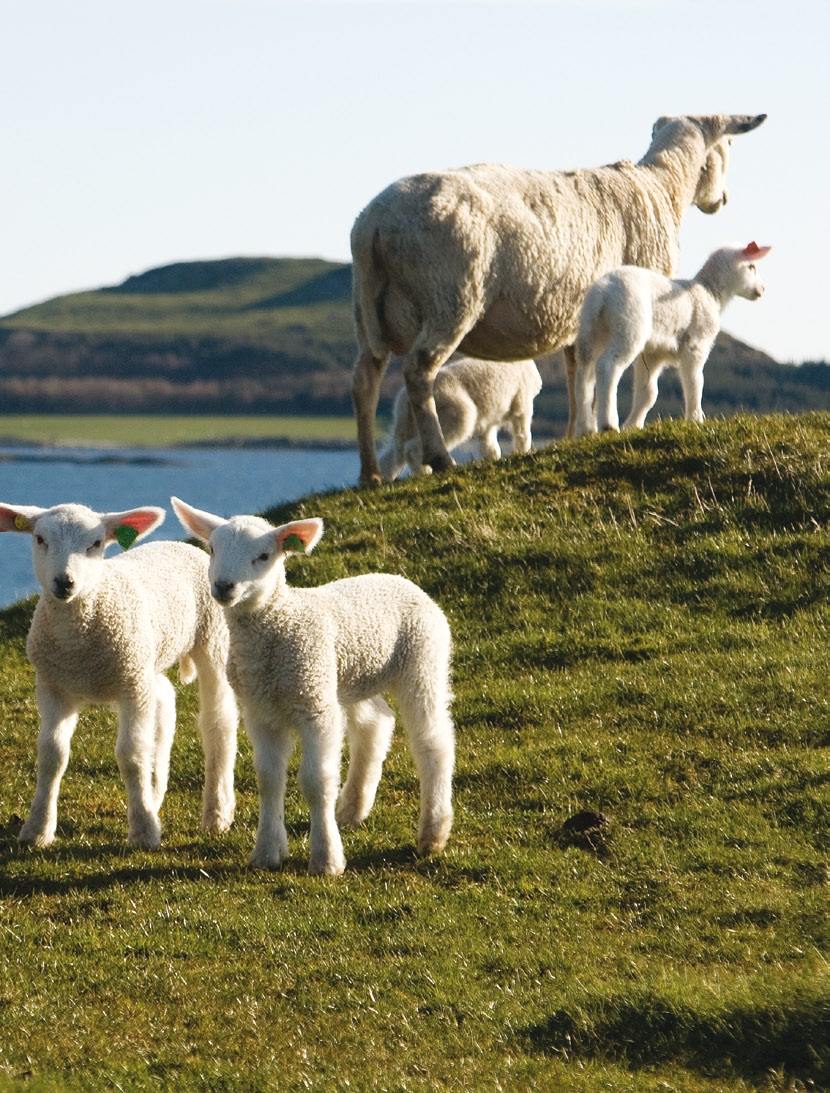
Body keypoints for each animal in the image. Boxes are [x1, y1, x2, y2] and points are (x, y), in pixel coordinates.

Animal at [0, 502, 240, 852]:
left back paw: (217, 814)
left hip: (211, 640)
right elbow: (51, 754)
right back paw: (155, 792)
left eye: (96, 543)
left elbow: (131, 755)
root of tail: (181, 545)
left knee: (217, 723)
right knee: (164, 698)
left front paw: (143, 831)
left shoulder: (131, 686)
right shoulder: (53, 685)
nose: (65, 582)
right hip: (146, 659)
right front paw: (37, 829)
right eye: (40, 539)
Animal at [169, 496, 454, 878]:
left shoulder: (315, 708)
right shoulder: (262, 711)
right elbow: (269, 778)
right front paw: (267, 851)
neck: (277, 626)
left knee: (433, 742)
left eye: (263, 556)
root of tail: (399, 579)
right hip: (345, 676)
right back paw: (351, 809)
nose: (224, 586)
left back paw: (432, 833)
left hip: (422, 661)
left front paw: (326, 859)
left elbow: (316, 781)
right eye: (212, 549)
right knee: (376, 723)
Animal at [378, 356, 544, 480]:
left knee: (396, 449)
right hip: (448, 406)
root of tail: (406, 400)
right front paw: (522, 452)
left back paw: (381, 478)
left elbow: (488, 439)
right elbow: (522, 429)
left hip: (404, 420)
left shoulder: (488, 416)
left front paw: (492, 459)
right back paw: (424, 471)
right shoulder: (521, 398)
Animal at [573, 240, 774, 435]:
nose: (762, 289)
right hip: (628, 327)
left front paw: (633, 425)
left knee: (584, 374)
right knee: (606, 365)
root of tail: (602, 291)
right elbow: (695, 382)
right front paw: (695, 420)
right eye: (752, 267)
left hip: (590, 332)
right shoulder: (695, 345)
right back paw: (608, 424)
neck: (710, 292)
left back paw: (585, 428)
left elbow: (648, 393)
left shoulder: (653, 353)